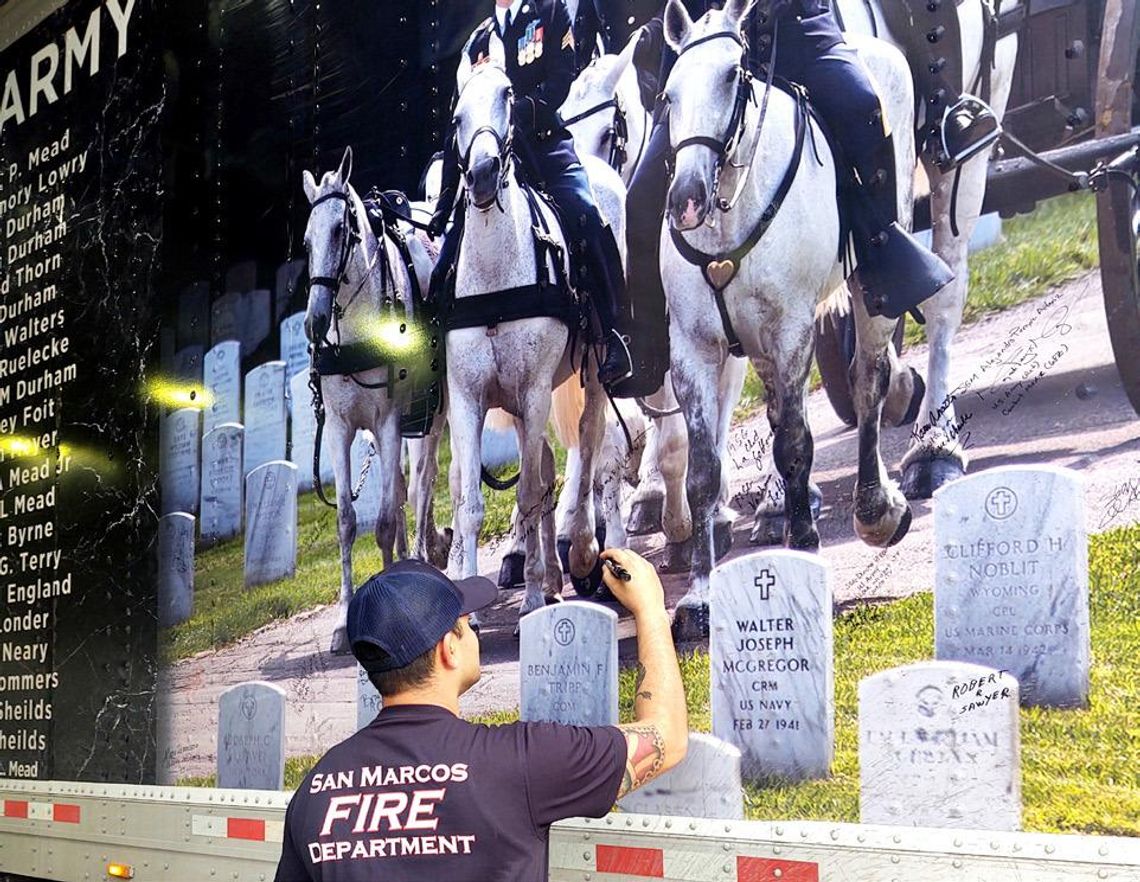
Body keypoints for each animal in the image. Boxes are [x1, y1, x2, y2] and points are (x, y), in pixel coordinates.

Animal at [300, 148, 442, 651]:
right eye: (306, 241)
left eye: (342, 231)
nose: (314, 321)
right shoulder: (341, 430)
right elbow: (347, 520)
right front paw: (344, 620)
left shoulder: (390, 420)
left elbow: (382, 520)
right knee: (401, 487)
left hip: (432, 413)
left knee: (421, 484)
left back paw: (421, 555)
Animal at [444, 63, 624, 629]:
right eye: (456, 114)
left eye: (508, 96)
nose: (481, 175)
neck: (497, 281)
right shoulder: (468, 399)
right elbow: (472, 504)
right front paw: (470, 607)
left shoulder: (535, 390)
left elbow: (527, 493)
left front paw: (531, 599)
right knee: (546, 468)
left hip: (590, 375)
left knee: (589, 446)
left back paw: (582, 551)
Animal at [665, 0, 912, 638]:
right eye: (668, 95)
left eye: (731, 77)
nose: (687, 199)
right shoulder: (693, 350)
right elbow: (703, 473)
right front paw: (698, 597)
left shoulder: (791, 332)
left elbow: (797, 446)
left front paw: (804, 553)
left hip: (869, 293)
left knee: (868, 382)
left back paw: (876, 509)